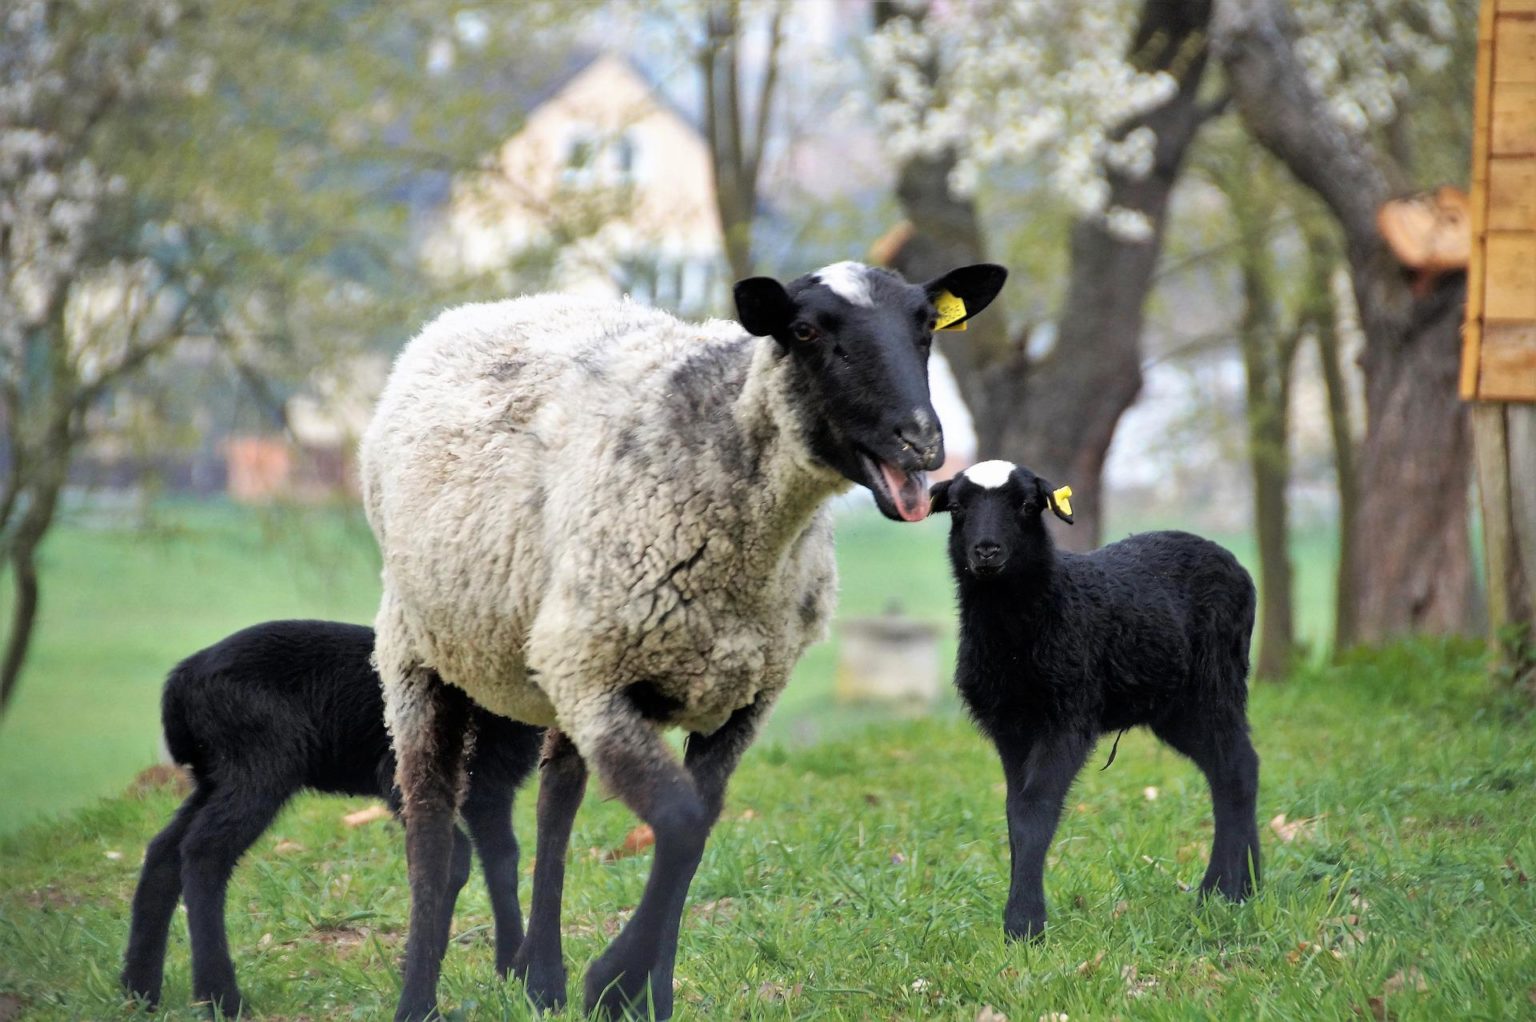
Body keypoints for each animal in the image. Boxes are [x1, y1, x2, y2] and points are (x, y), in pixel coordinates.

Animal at [119, 617, 543, 1014]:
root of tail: (181, 680)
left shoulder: (492, 791)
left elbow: (503, 861)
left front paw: (513, 972)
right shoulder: (399, 774)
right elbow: (451, 859)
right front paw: (417, 976)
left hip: (215, 774)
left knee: (164, 850)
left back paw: (139, 991)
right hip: (259, 762)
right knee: (204, 851)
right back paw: (221, 998)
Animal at [921, 461, 1259, 940]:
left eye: (1027, 506)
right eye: (956, 507)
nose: (987, 551)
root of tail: (1233, 563)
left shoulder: (1069, 717)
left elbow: (1035, 811)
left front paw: (1024, 924)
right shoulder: (1010, 727)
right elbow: (1014, 813)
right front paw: (1020, 917)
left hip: (1215, 683)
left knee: (1236, 772)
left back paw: (1225, 890)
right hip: (1175, 708)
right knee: (1232, 768)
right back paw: (1243, 886)